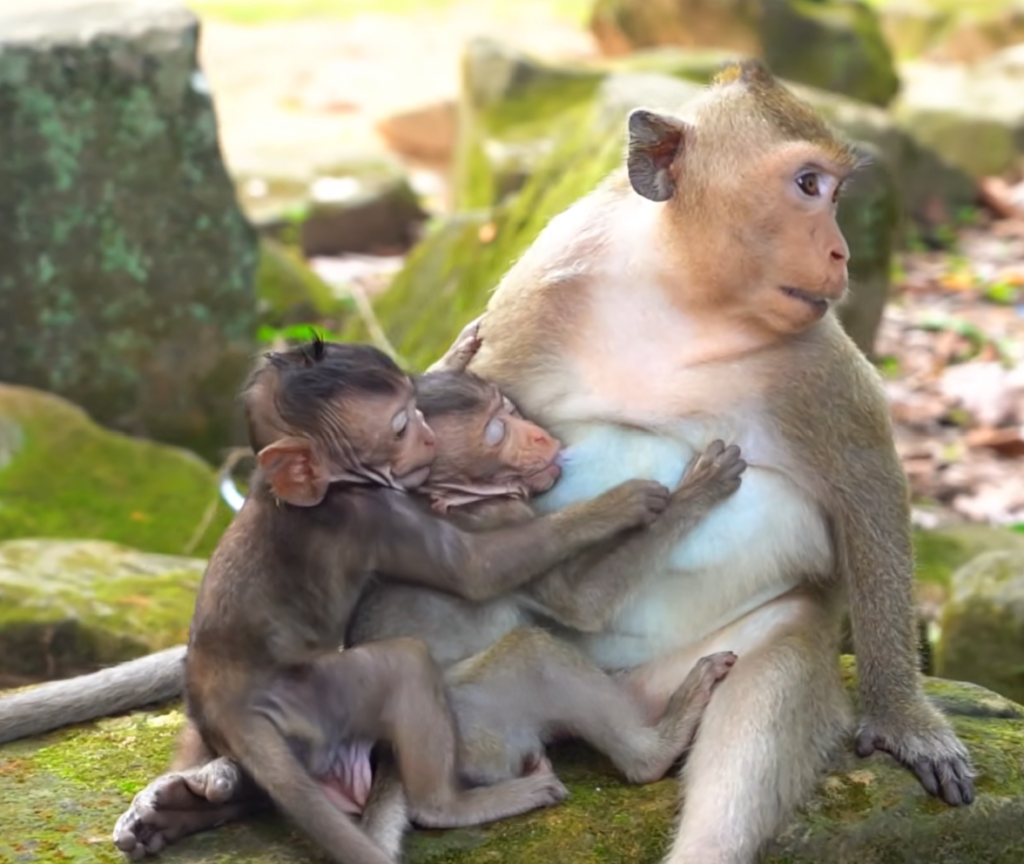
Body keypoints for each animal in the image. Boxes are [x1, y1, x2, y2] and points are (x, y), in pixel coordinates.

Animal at [109, 342, 744, 861]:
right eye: (496, 432)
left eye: (512, 412)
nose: (543, 437)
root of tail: (393, 760)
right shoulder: (485, 521)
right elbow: (573, 599)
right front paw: (669, 497)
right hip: (475, 723)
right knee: (527, 654)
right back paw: (652, 748)